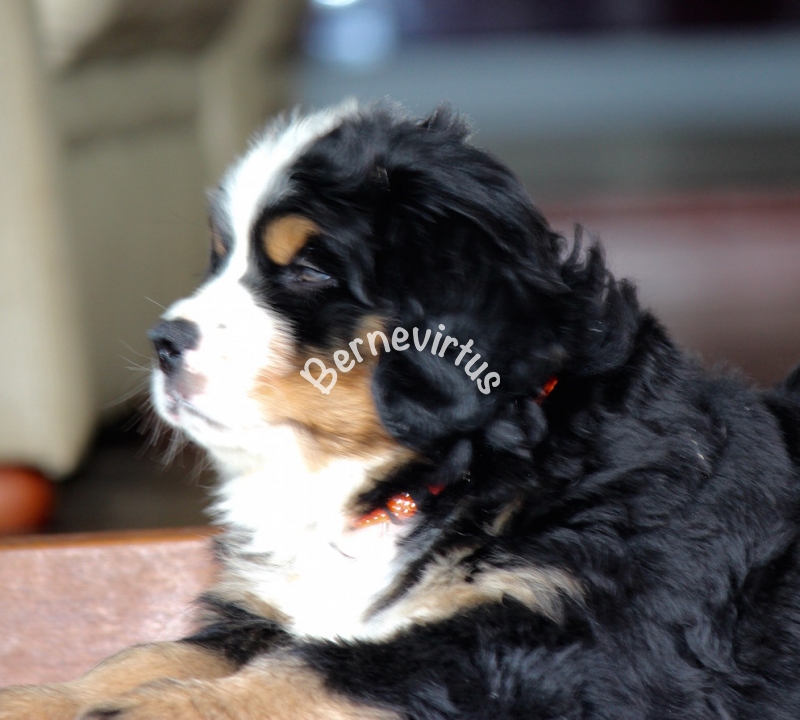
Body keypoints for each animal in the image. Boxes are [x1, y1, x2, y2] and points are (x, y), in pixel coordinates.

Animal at [2, 100, 800, 720]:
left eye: (310, 267)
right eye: (221, 257)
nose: (163, 342)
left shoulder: (558, 637)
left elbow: (307, 669)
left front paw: (142, 709)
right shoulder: (273, 613)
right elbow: (149, 653)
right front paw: (43, 695)